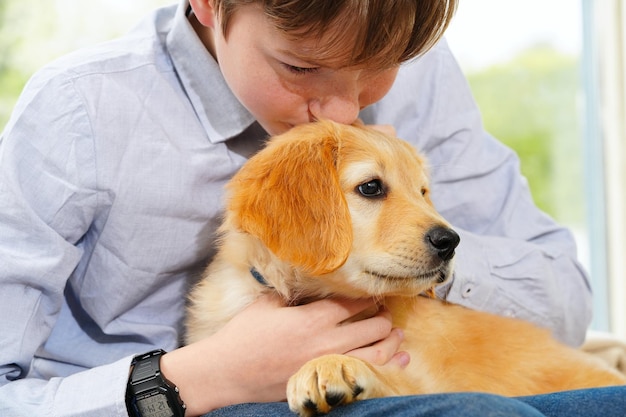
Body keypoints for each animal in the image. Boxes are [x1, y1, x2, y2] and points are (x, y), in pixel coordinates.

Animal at [186, 120, 624, 416]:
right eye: (371, 187)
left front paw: (336, 364)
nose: (450, 242)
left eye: (423, 192)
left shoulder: (426, 376)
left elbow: (400, 381)